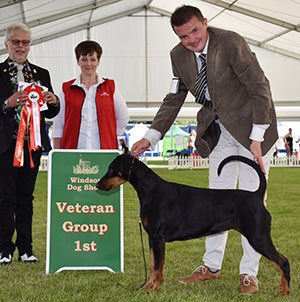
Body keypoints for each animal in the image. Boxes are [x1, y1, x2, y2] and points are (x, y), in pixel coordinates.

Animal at [97, 155, 290, 296]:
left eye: (112, 169)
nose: (98, 184)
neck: (149, 190)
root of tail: (256, 196)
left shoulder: (157, 238)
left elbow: (157, 267)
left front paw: (154, 290)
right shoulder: (153, 239)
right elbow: (153, 266)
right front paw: (148, 287)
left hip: (258, 237)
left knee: (283, 261)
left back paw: (285, 291)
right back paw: (281, 288)